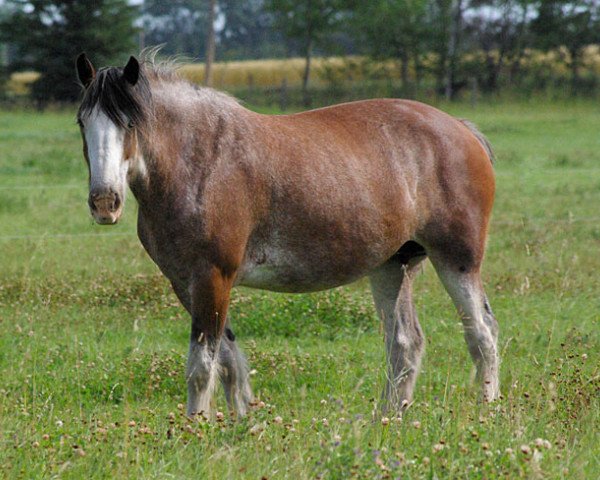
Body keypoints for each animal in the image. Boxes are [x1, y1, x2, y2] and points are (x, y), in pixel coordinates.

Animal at [75, 52, 500, 418]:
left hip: (457, 261)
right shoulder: (186, 284)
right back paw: (389, 417)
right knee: (405, 344)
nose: (104, 202)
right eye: (83, 122)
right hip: (391, 267)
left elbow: (201, 366)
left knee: (482, 335)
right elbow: (228, 362)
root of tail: (462, 130)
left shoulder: (213, 277)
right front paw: (238, 421)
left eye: (130, 123)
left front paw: (194, 426)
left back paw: (487, 410)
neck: (201, 162)